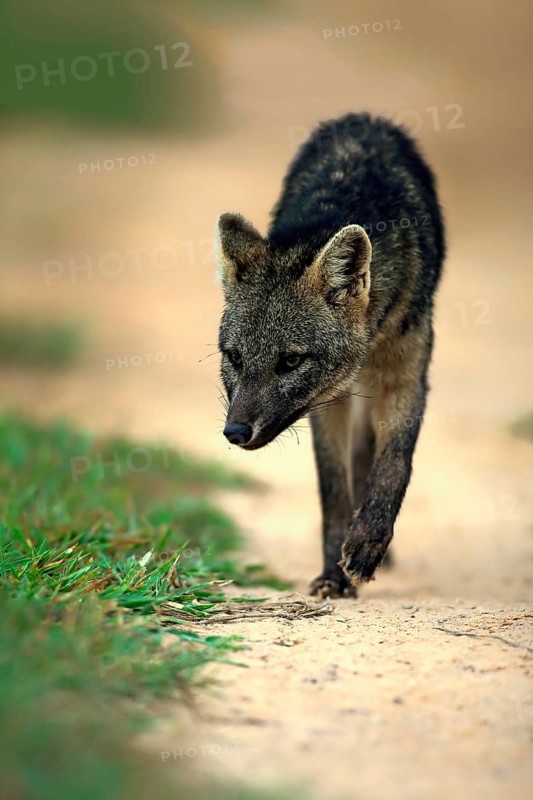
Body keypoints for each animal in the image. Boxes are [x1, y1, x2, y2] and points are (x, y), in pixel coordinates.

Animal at [215, 113, 445, 598]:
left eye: (290, 361)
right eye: (235, 358)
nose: (235, 432)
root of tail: (363, 117)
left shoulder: (407, 380)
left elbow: (393, 466)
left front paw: (367, 546)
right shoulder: (328, 403)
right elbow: (334, 489)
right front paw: (333, 574)